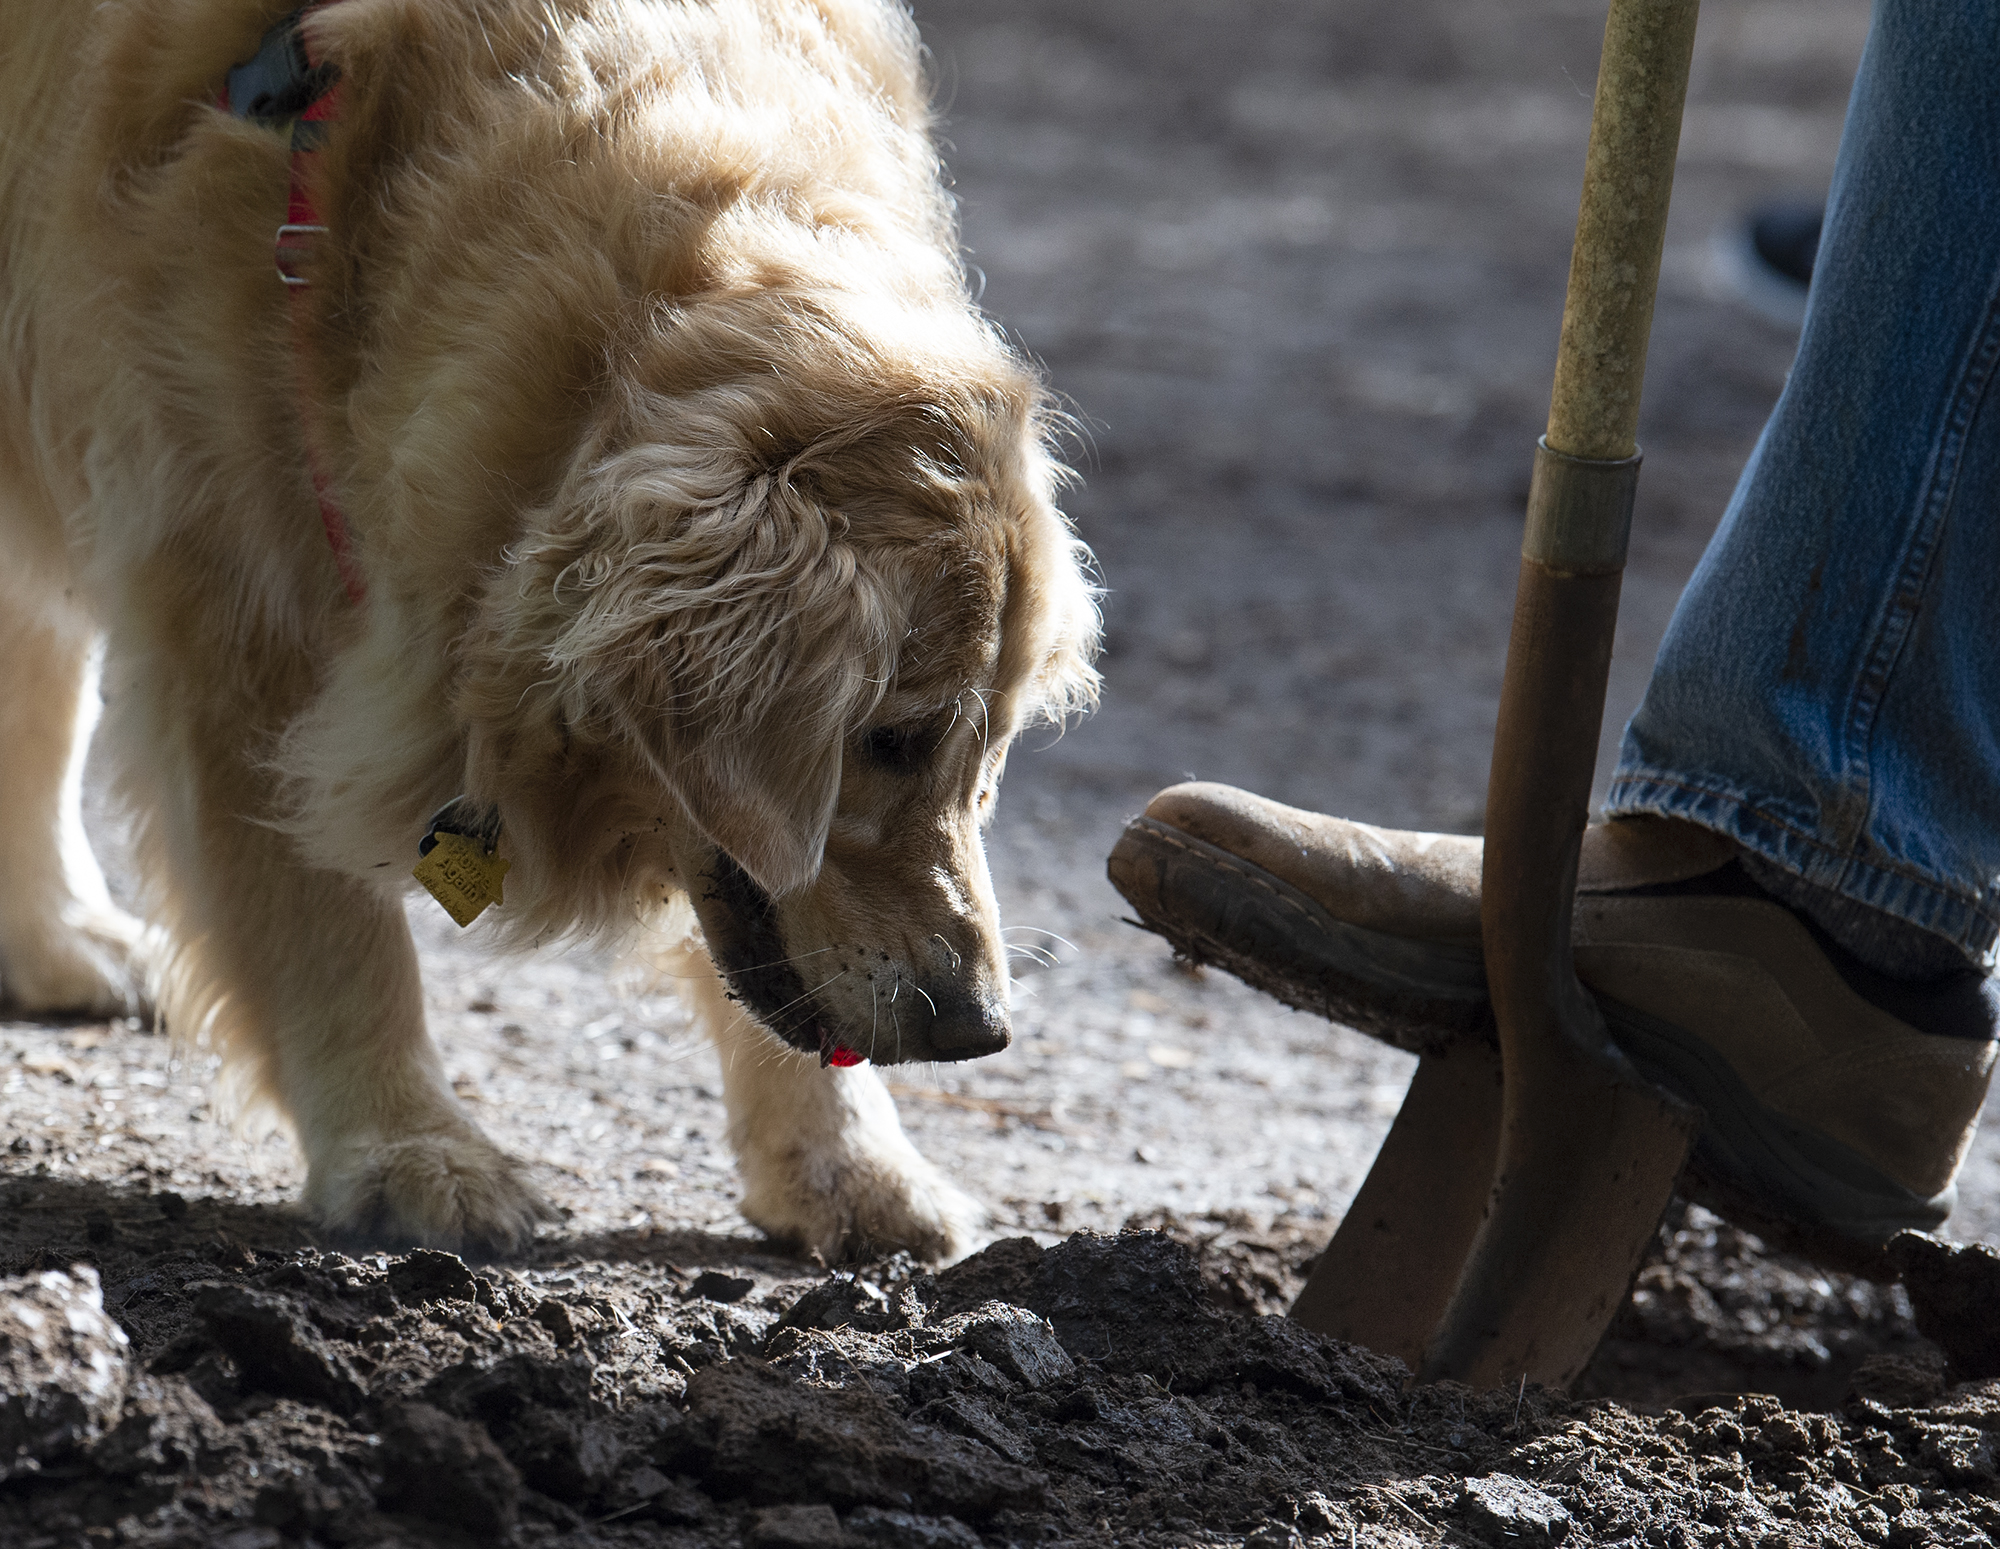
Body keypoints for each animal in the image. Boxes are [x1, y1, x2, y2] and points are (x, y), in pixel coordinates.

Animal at [0, 0, 1096, 1264]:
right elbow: (322, 924)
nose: (980, 1028)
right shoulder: (228, 601)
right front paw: (407, 1149)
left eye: (990, 749)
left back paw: (55, 935)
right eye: (886, 740)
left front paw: (850, 1167)